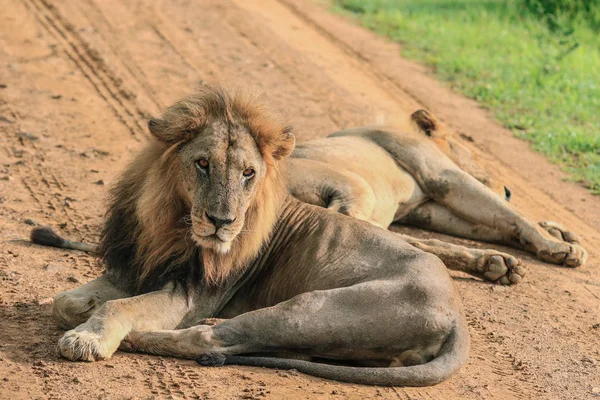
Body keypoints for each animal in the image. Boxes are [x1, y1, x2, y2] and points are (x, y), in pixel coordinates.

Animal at [35, 85, 472, 388]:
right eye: (203, 164)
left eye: (248, 173)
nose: (222, 221)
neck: (170, 222)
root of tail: (457, 315)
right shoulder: (135, 267)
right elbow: (63, 301)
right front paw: (81, 312)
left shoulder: (191, 296)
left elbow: (119, 307)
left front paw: (89, 337)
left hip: (308, 309)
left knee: (208, 338)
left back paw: (141, 337)